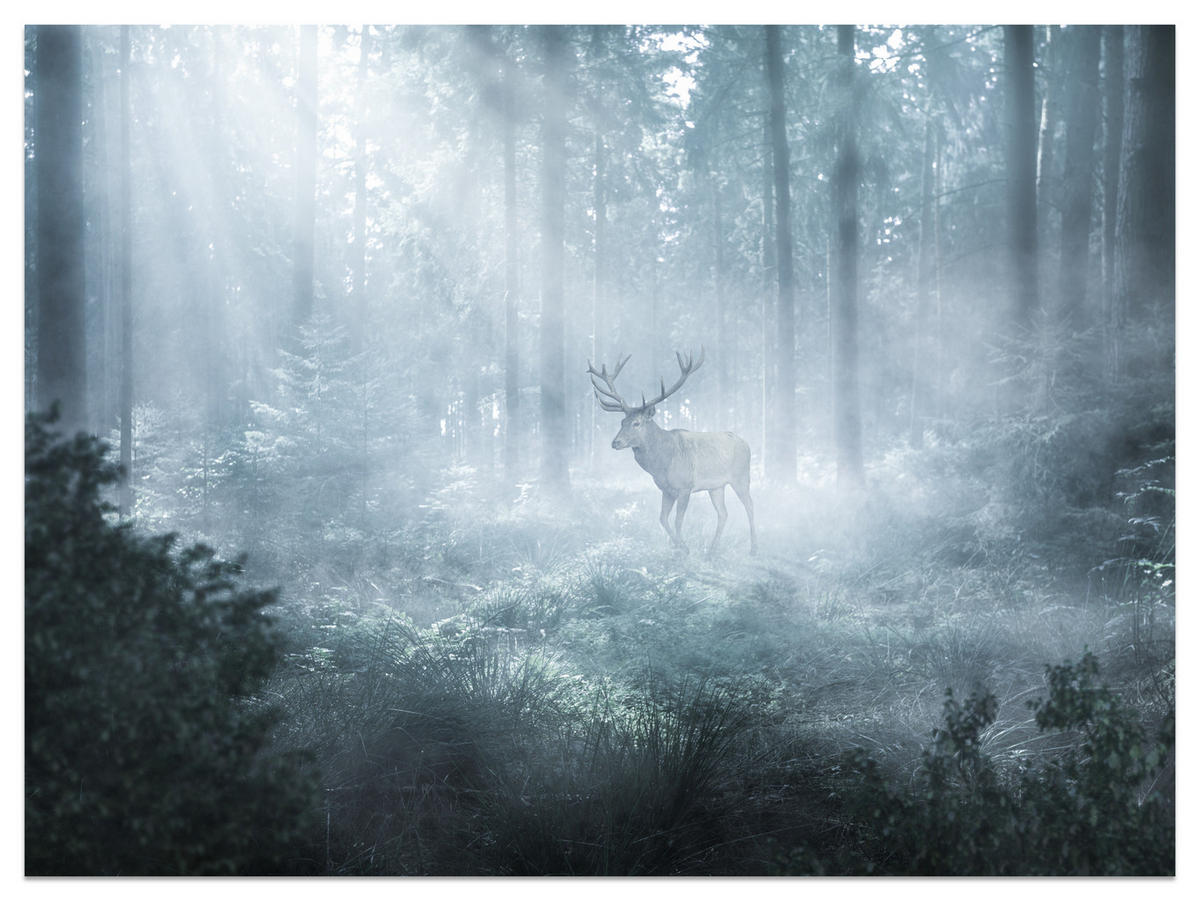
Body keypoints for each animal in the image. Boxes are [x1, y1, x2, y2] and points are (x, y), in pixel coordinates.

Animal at [588, 349, 757, 556]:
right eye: (622, 422)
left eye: (637, 423)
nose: (615, 442)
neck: (662, 464)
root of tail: (746, 443)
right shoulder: (666, 490)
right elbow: (662, 519)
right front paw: (677, 547)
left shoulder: (685, 487)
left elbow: (677, 521)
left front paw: (684, 548)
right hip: (716, 486)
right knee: (723, 513)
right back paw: (711, 550)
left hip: (741, 476)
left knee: (750, 506)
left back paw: (753, 549)